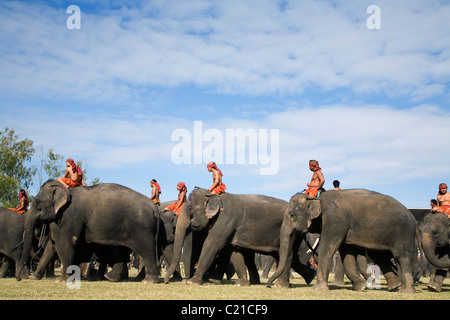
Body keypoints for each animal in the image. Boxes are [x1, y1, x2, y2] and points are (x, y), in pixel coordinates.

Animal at [17, 181, 160, 284]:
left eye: (37, 202)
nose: (19, 279)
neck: (66, 190)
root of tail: (154, 208)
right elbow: (51, 248)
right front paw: (35, 278)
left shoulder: (71, 216)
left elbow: (66, 243)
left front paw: (61, 280)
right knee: (122, 252)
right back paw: (110, 278)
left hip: (141, 228)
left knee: (147, 251)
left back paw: (148, 281)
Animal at [163, 186, 314, 286]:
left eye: (189, 209)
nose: (166, 282)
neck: (213, 195)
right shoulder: (231, 228)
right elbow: (233, 251)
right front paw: (242, 283)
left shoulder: (225, 220)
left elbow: (211, 244)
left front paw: (192, 282)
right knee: (285, 256)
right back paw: (310, 277)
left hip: (293, 231)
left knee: (288, 254)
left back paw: (282, 284)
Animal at [268, 189, 418, 294]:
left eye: (292, 215)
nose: (269, 285)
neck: (316, 199)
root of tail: (411, 215)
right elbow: (347, 254)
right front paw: (361, 287)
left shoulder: (335, 222)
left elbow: (327, 248)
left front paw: (318, 289)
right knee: (381, 256)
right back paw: (395, 287)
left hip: (404, 233)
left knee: (402, 257)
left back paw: (406, 291)